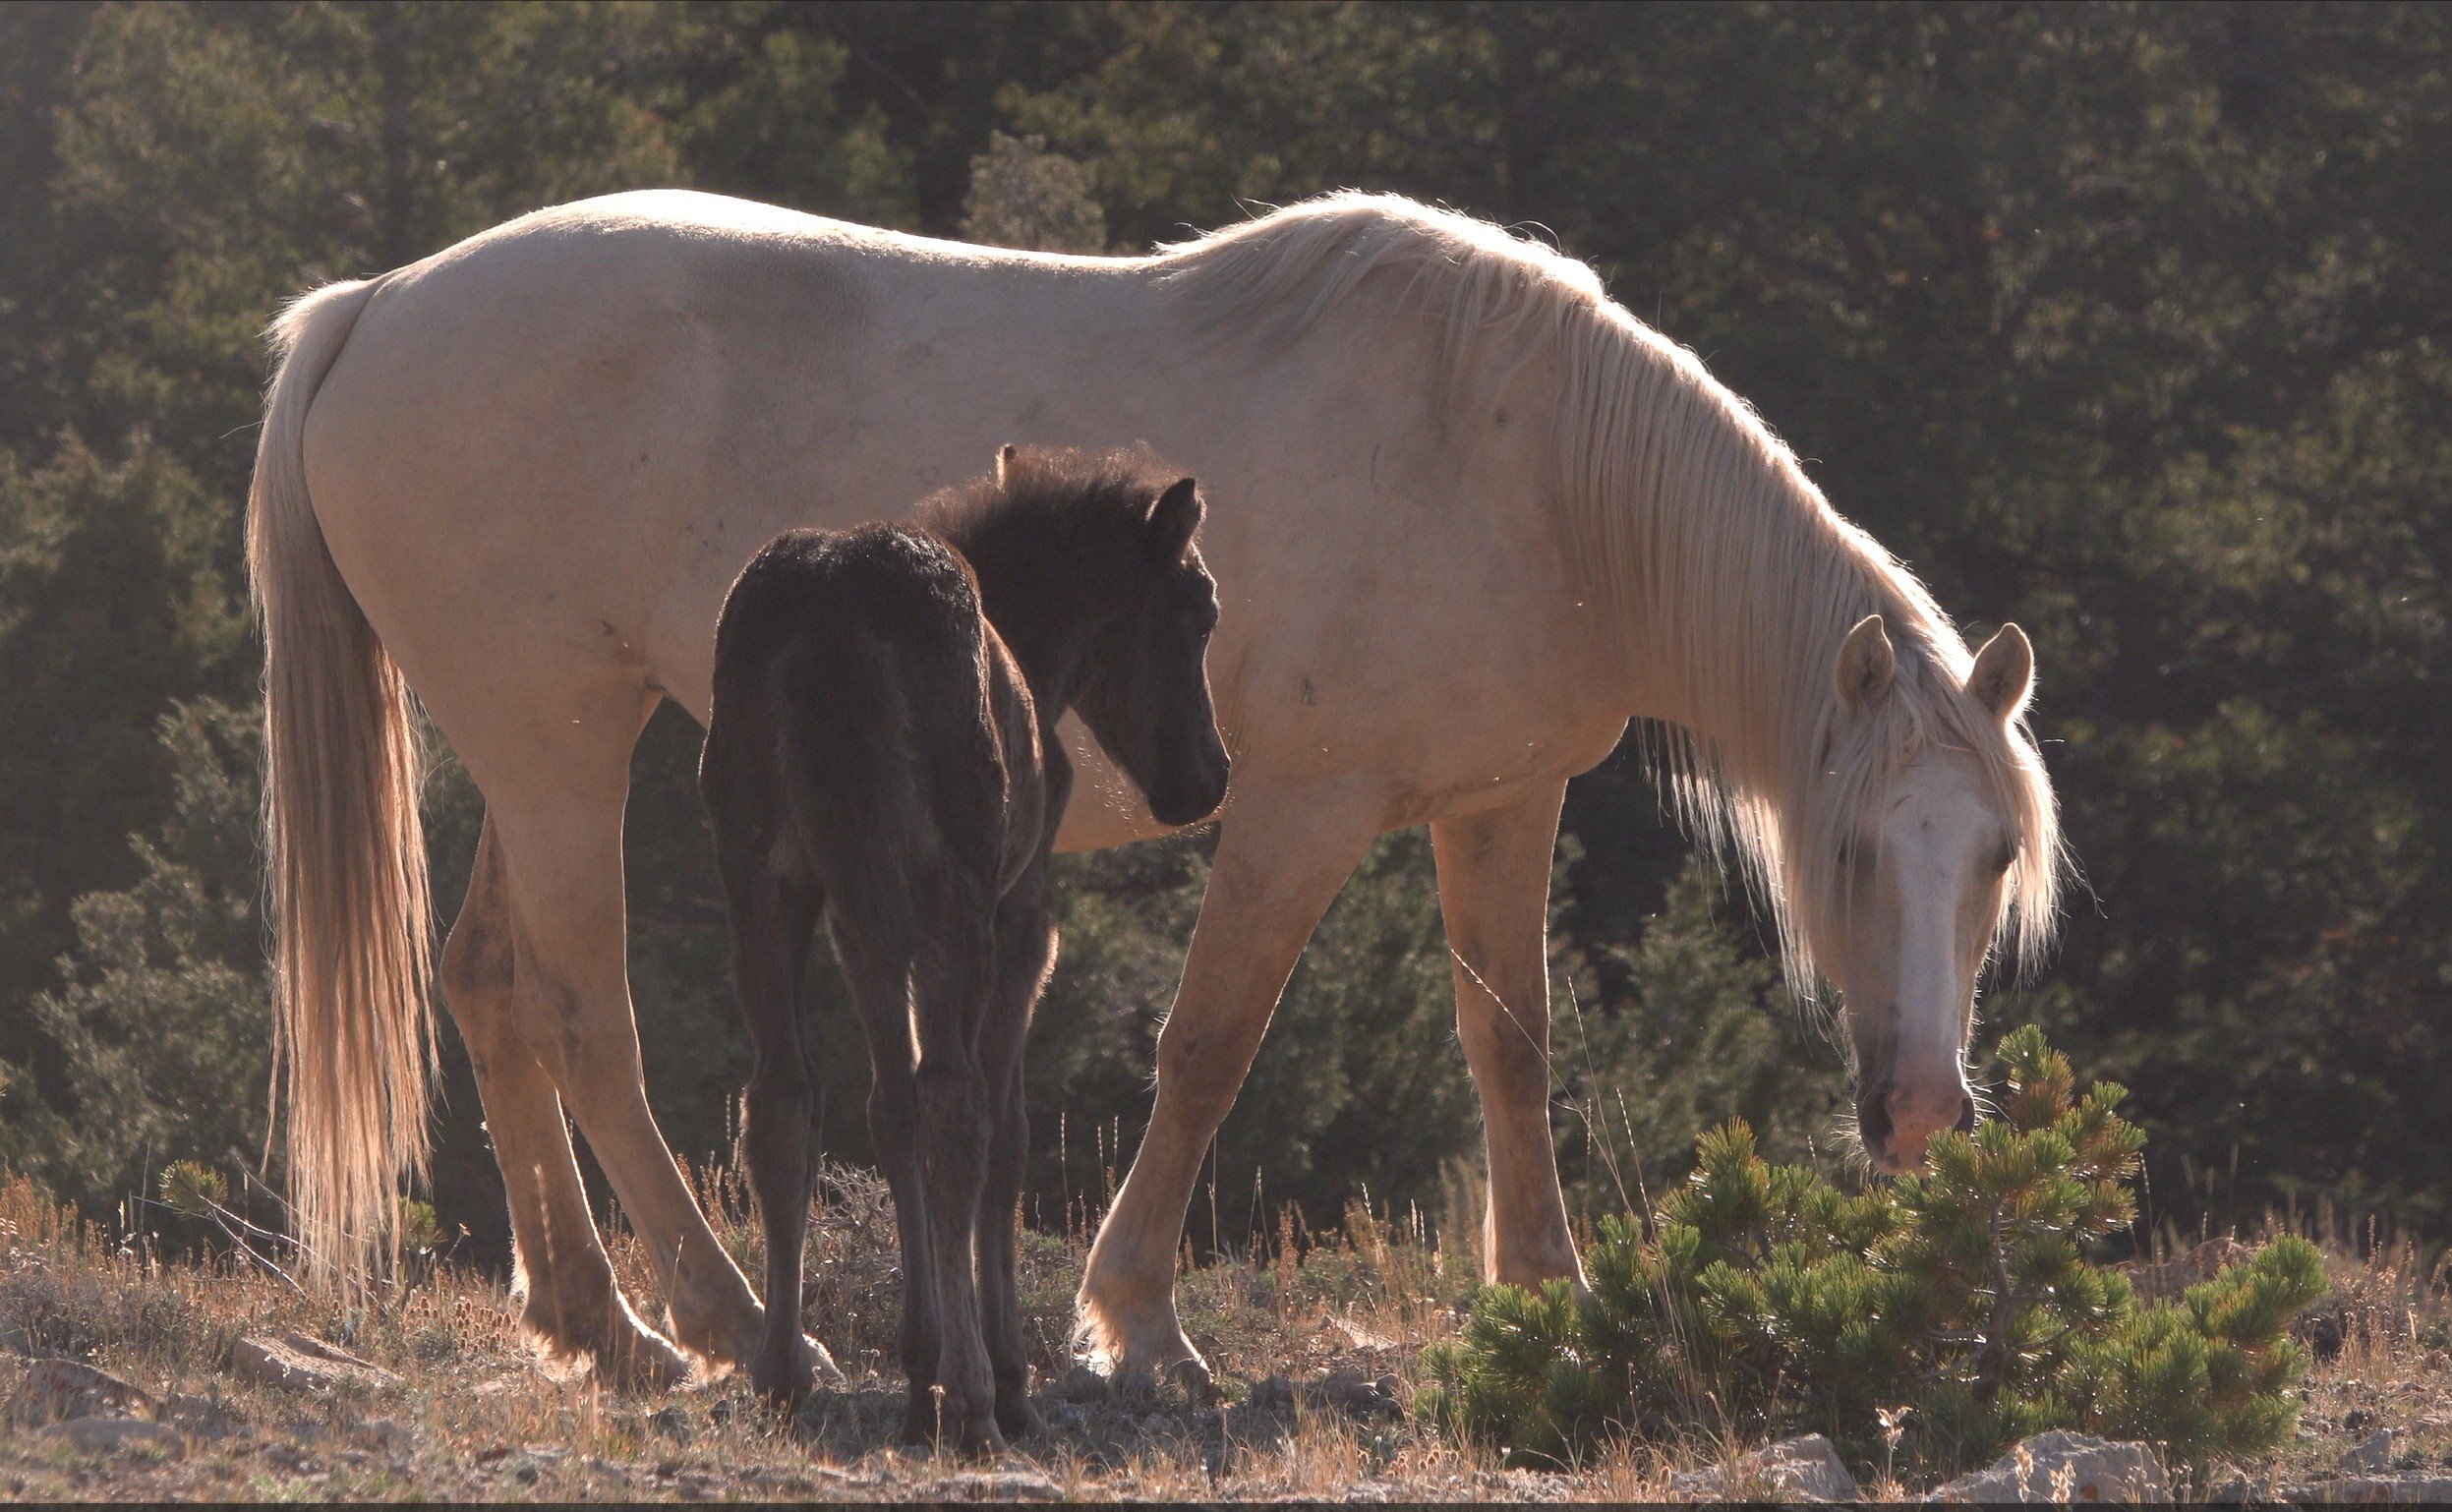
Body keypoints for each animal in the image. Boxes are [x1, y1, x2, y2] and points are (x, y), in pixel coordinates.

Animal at [699, 445, 1226, 1446]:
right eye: (1201, 609)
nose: (1206, 778)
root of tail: (831, 624)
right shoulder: (1020, 920)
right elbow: (1004, 1129)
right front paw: (1003, 1377)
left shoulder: (860, 922)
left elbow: (887, 1108)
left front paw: (918, 1369)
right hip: (951, 893)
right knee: (957, 1104)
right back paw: (979, 1395)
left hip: (764, 882)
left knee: (782, 1100)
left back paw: (782, 1374)